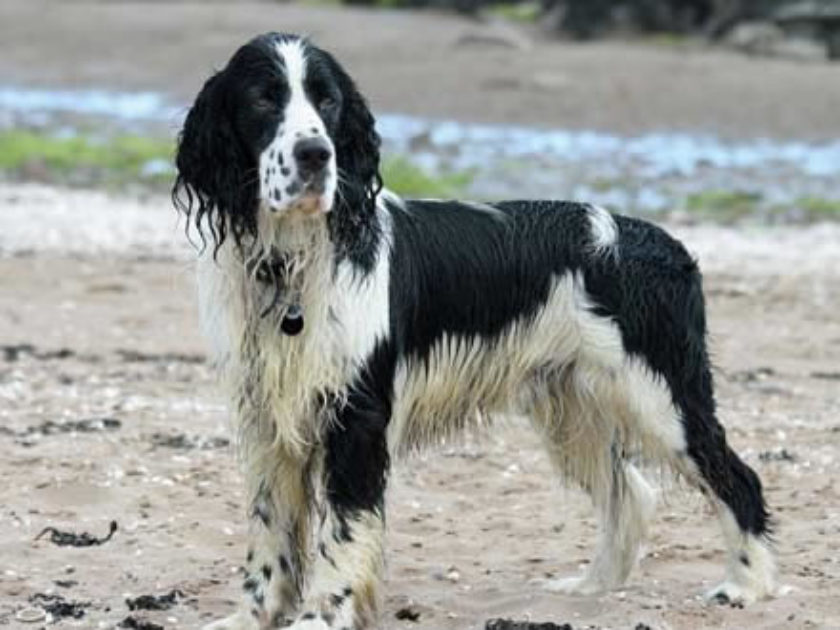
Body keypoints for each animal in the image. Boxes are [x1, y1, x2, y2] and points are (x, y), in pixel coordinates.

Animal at [174, 33, 776, 630]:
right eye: (262, 99)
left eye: (328, 102)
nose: (316, 154)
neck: (291, 261)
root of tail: (667, 246)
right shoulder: (266, 420)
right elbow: (269, 531)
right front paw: (251, 617)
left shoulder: (357, 417)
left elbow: (340, 534)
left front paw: (321, 618)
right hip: (572, 408)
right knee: (629, 495)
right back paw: (590, 589)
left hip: (661, 397)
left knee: (737, 479)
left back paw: (745, 586)